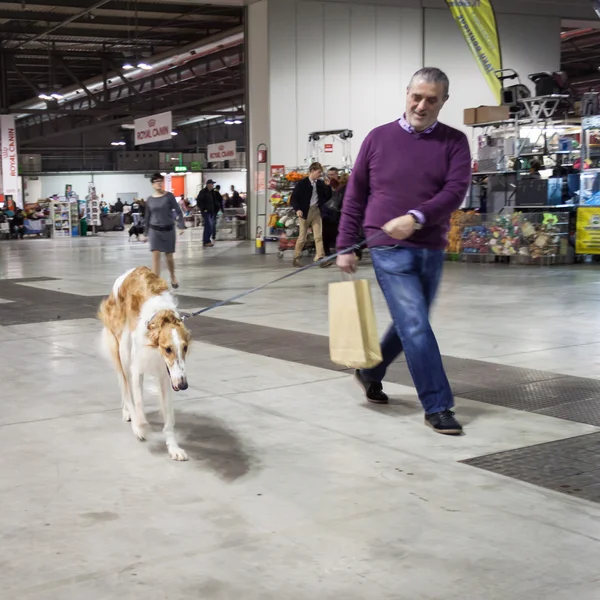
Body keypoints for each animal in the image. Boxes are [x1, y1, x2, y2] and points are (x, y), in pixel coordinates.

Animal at [98, 266, 191, 460]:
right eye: (167, 349)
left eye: (185, 348)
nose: (183, 385)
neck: (160, 317)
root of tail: (128, 271)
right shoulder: (137, 368)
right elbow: (138, 402)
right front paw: (141, 427)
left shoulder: (165, 377)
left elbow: (168, 418)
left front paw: (174, 448)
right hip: (123, 351)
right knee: (126, 389)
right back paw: (132, 418)